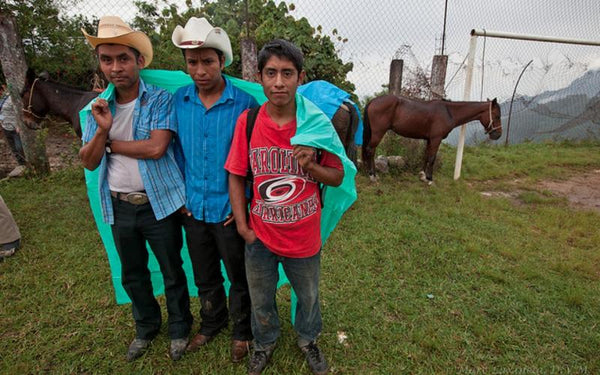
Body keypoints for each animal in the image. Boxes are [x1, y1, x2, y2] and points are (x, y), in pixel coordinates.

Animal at [360, 95, 502, 184]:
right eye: (497, 115)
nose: (498, 135)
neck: (448, 111)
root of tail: (373, 101)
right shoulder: (436, 139)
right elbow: (432, 158)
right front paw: (430, 179)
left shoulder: (429, 140)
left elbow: (426, 155)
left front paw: (422, 176)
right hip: (378, 133)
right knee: (370, 150)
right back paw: (372, 176)